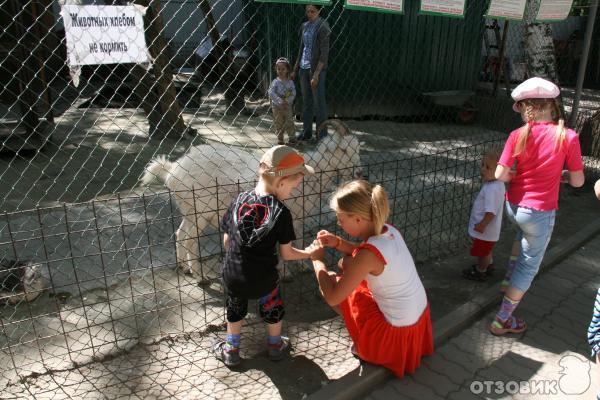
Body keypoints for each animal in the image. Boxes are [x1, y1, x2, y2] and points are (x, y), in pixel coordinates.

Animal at [142, 120, 360, 280]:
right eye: (343, 150)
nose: (359, 172)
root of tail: (173, 171)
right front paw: (284, 273)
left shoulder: (297, 217)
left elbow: (297, 240)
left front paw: (303, 265)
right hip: (200, 209)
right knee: (189, 239)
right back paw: (199, 275)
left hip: (189, 209)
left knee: (180, 233)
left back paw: (184, 267)